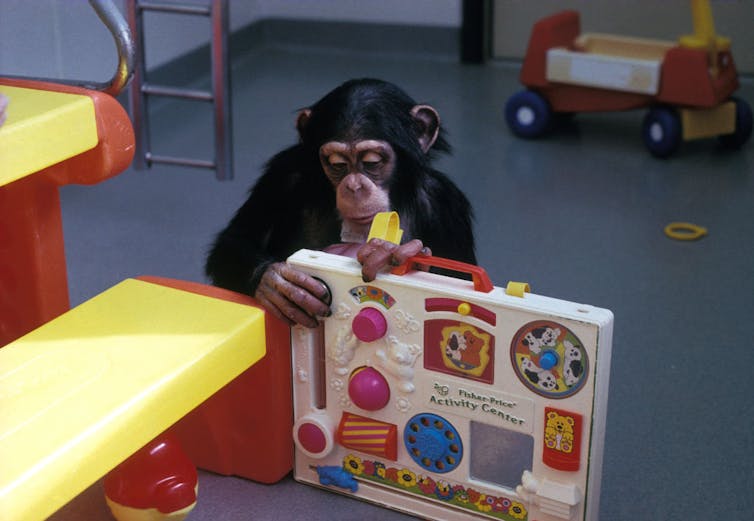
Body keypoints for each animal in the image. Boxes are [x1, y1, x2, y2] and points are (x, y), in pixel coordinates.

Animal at [204, 78, 476, 324]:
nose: (354, 186)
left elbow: (455, 275)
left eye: (372, 162)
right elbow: (236, 237)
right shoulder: (283, 173)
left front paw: (399, 255)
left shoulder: (445, 203)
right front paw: (276, 283)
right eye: (337, 164)